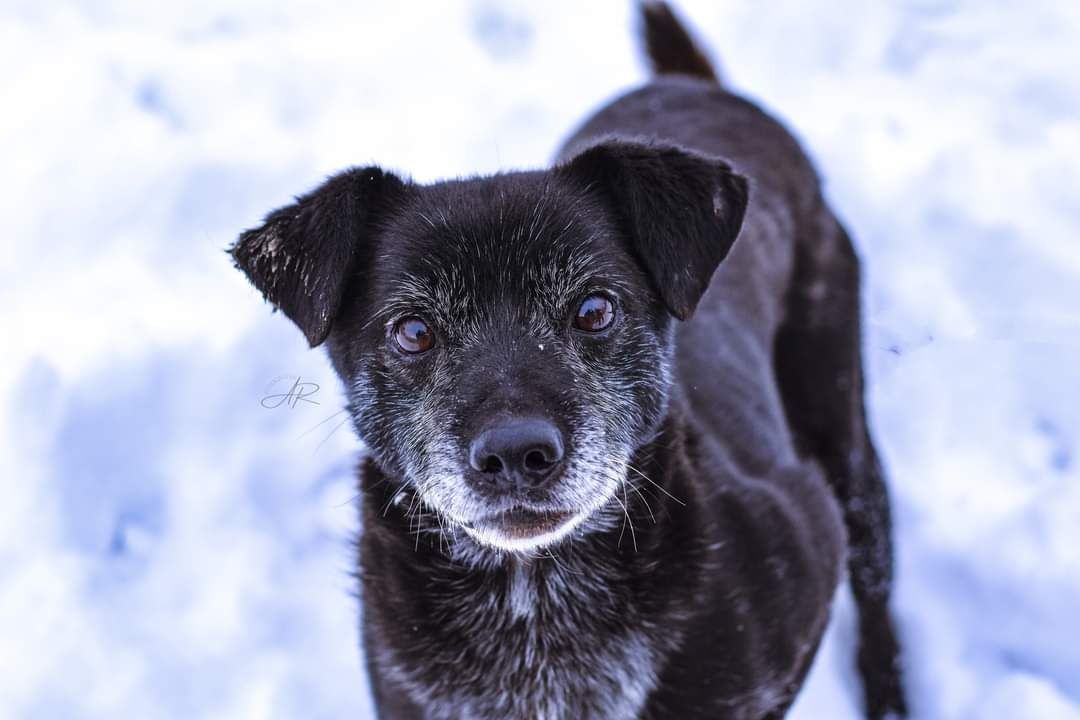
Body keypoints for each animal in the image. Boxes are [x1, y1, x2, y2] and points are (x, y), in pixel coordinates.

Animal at [232, 2, 907, 716]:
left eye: (593, 309)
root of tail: (693, 87)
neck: (534, 607)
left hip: (841, 434)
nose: (515, 454)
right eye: (413, 331)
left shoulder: (810, 539)